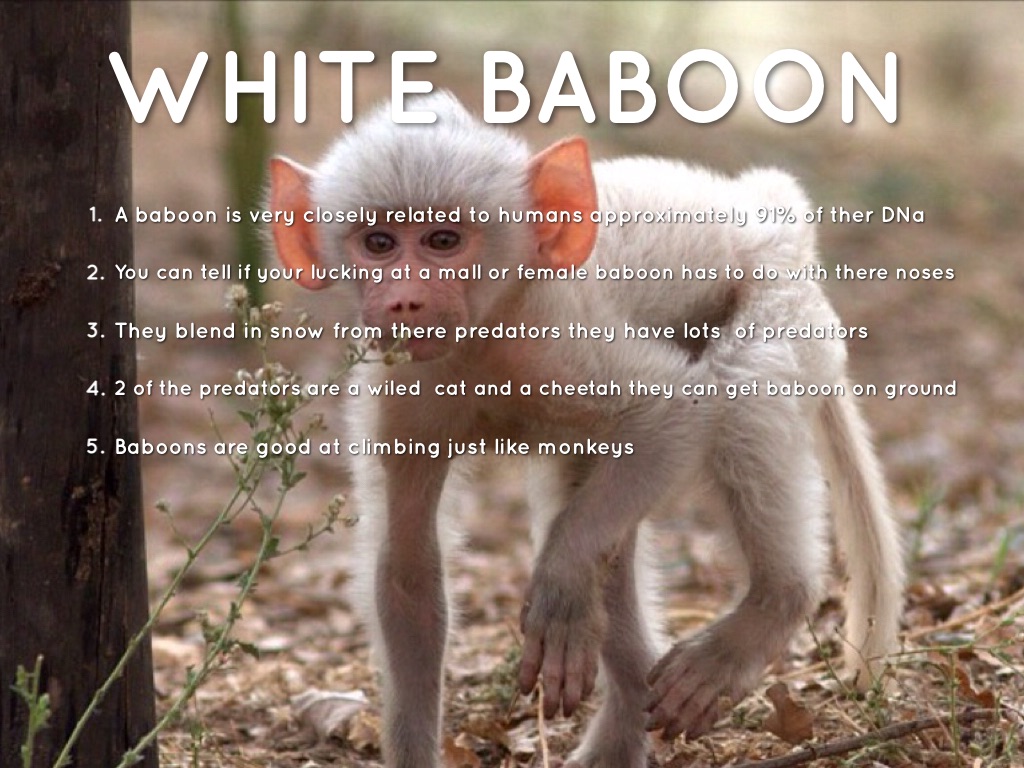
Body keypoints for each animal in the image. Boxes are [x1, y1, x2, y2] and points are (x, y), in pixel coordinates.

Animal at [268, 91, 904, 768]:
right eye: (379, 243)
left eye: (443, 240)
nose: (404, 301)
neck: (488, 331)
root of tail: (775, 214)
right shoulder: (402, 391)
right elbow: (409, 576)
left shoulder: (557, 338)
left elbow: (675, 413)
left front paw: (560, 586)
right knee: (600, 507)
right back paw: (624, 718)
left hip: (780, 303)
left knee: (741, 393)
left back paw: (772, 603)